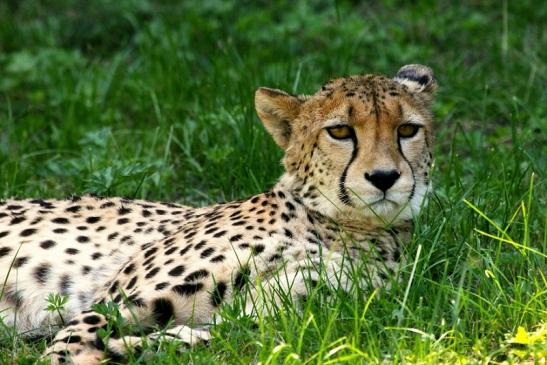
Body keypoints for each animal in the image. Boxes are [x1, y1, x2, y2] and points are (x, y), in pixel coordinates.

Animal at [0, 64, 436, 362]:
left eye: (407, 130)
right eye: (341, 131)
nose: (384, 177)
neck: (339, 226)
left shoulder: (284, 319)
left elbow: (212, 338)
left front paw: (126, 349)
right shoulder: (118, 298)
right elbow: (75, 337)